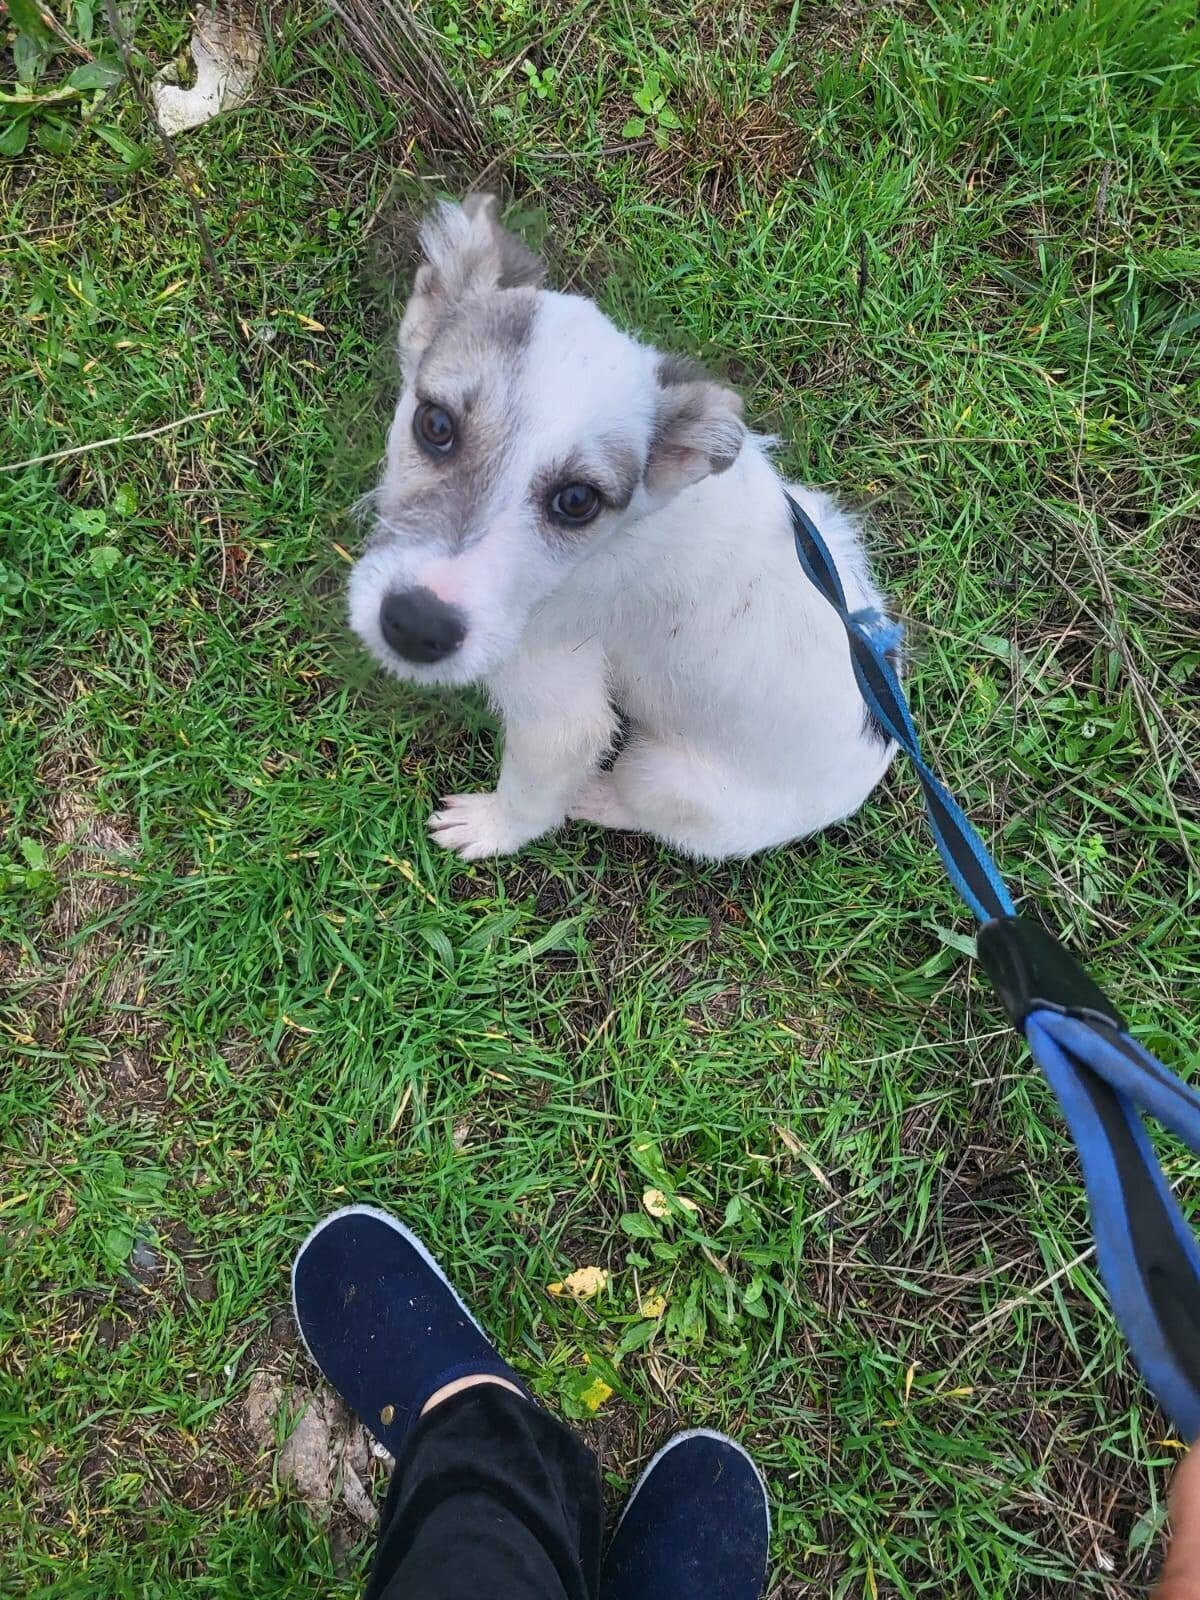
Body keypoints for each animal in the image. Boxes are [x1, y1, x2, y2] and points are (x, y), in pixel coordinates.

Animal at [348, 195, 896, 861]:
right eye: (435, 424)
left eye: (577, 500)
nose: (415, 627)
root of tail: (876, 762)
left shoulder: (556, 705)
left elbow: (532, 795)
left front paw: (492, 829)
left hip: (658, 773)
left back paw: (598, 797)